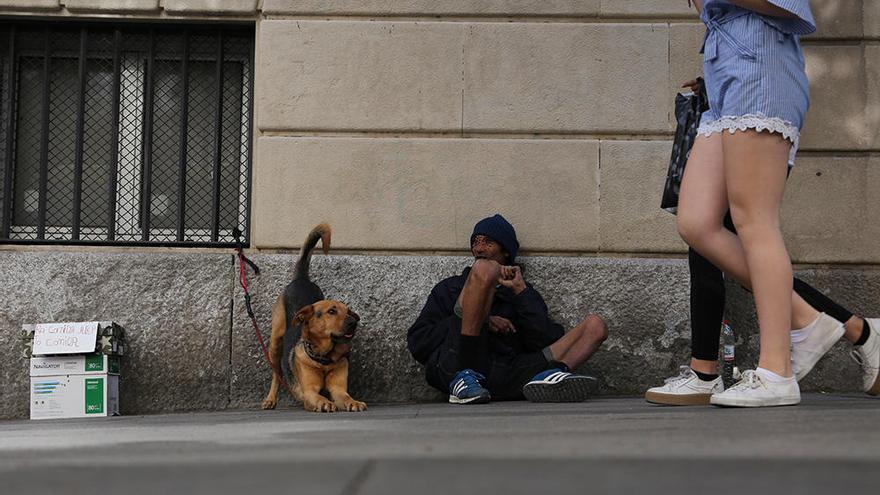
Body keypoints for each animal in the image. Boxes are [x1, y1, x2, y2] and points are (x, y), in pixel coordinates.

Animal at [262, 223, 370, 412]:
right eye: (332, 311)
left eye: (348, 312)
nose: (353, 323)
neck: (325, 359)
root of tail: (301, 279)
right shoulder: (309, 392)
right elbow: (318, 397)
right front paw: (325, 403)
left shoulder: (338, 389)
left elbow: (346, 397)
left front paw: (354, 402)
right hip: (275, 342)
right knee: (276, 374)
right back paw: (270, 399)